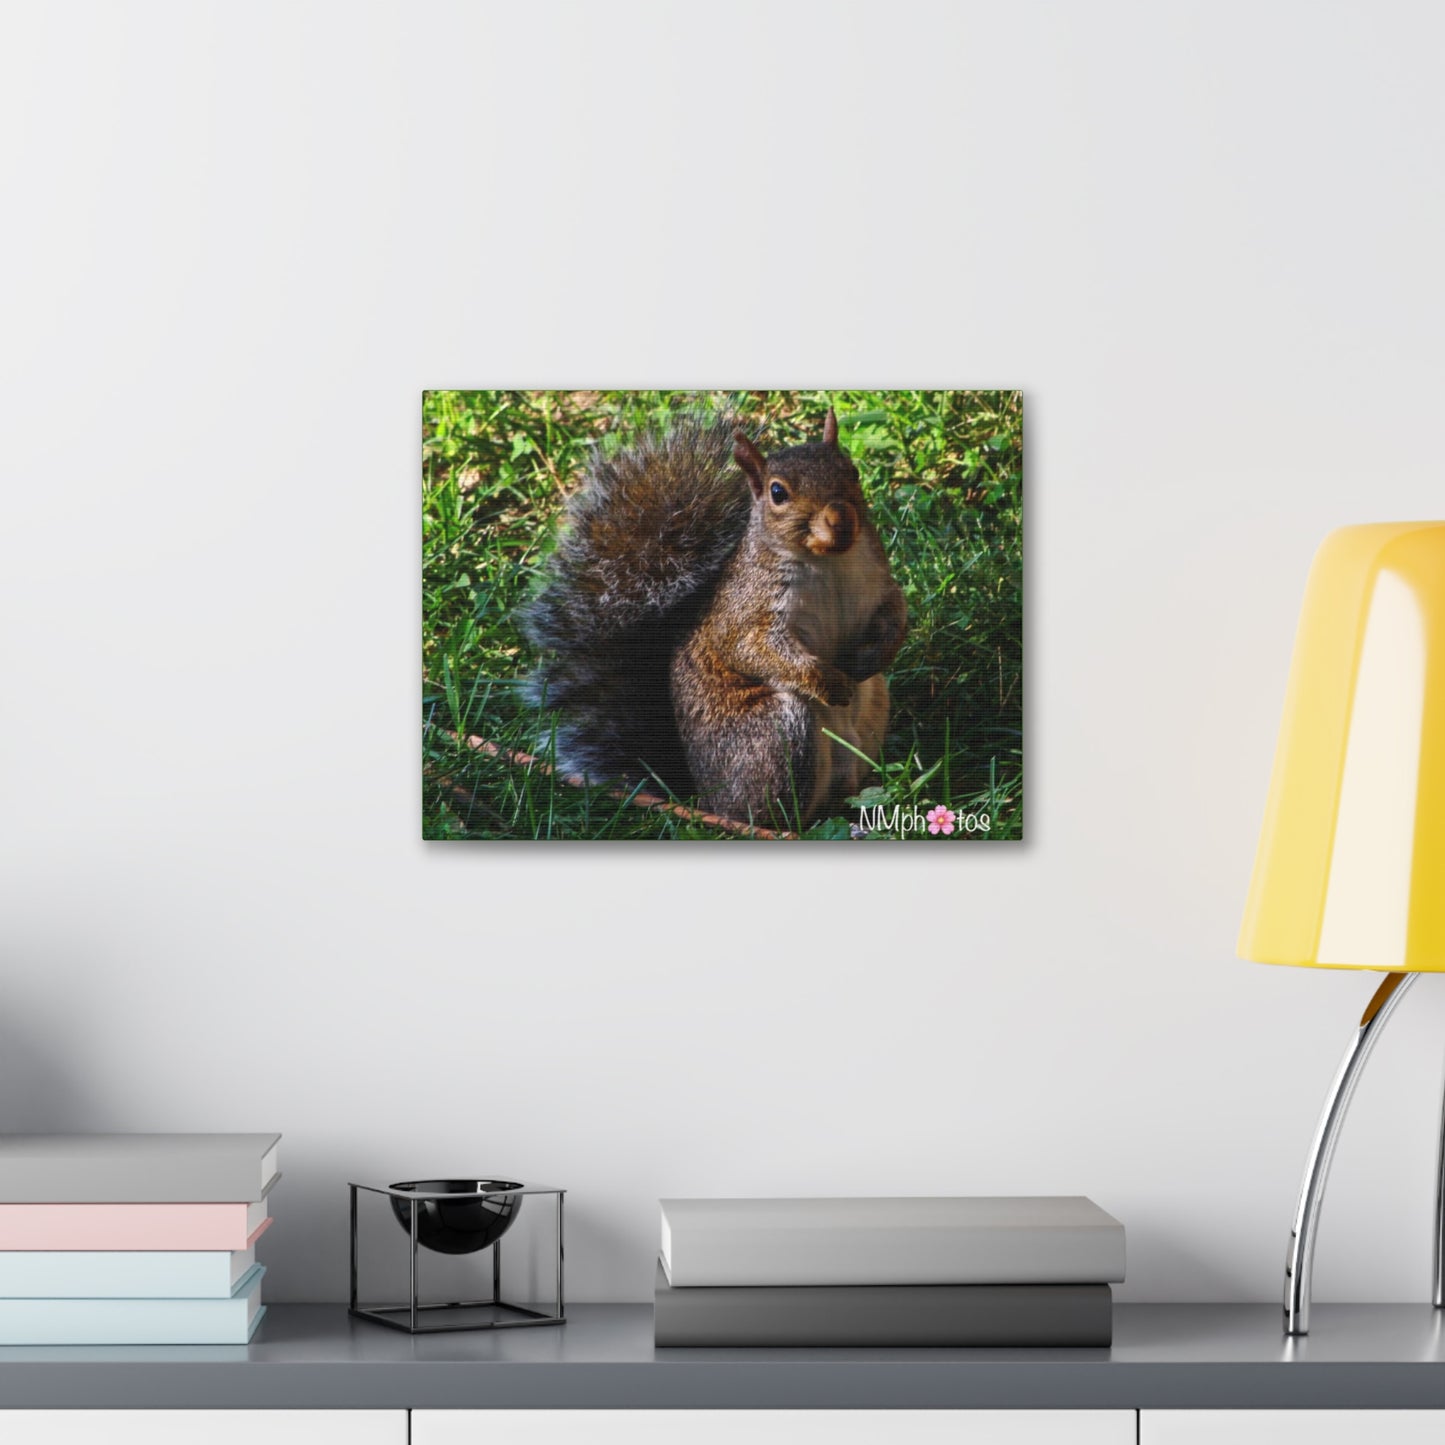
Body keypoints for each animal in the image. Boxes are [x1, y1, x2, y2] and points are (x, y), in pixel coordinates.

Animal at [521, 408, 908, 827]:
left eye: (852, 471)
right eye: (778, 493)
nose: (840, 519)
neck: (829, 561)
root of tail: (704, 799)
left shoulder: (878, 584)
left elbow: (896, 613)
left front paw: (874, 656)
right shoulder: (747, 611)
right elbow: (752, 649)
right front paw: (829, 683)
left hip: (874, 706)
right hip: (776, 732)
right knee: (772, 813)